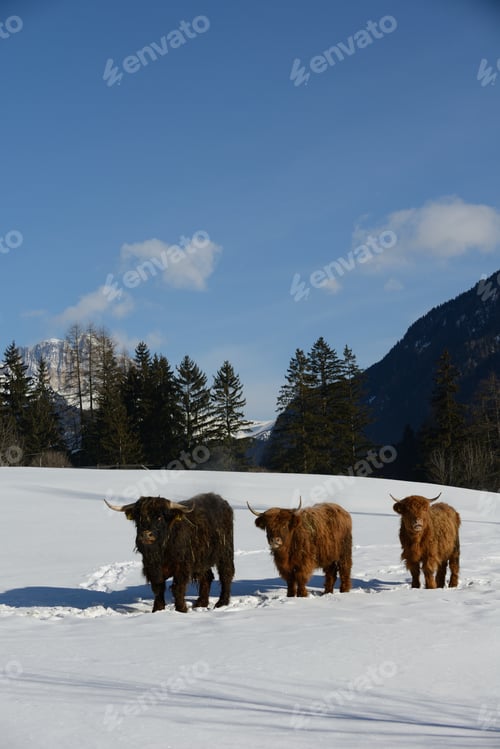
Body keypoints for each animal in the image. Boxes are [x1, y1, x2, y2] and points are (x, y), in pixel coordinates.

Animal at [105, 493, 234, 613]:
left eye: (160, 517)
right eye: (139, 518)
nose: (146, 535)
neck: (161, 552)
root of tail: (221, 501)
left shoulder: (182, 567)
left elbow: (178, 588)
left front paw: (181, 609)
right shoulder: (152, 568)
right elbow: (158, 588)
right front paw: (158, 610)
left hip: (225, 553)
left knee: (226, 574)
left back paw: (221, 603)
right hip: (201, 560)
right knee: (207, 577)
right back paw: (201, 604)